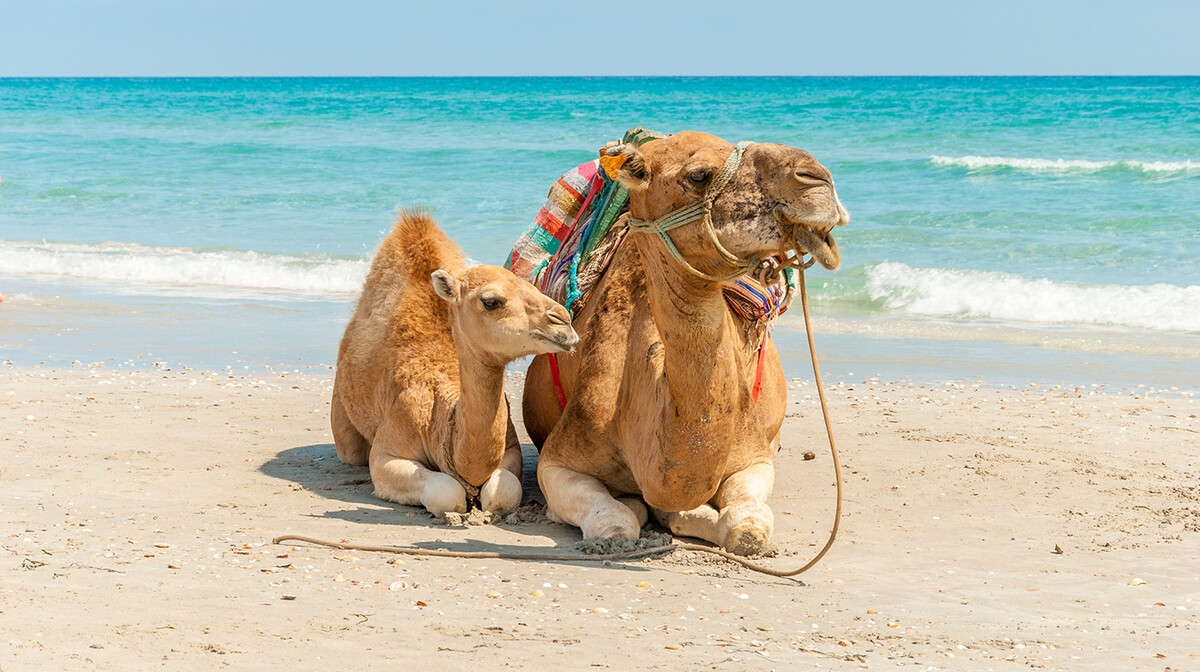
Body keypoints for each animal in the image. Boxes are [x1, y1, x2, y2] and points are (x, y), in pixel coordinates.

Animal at [336, 212, 578, 516]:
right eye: (491, 301)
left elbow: (504, 493)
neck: (437, 413)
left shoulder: (511, 448)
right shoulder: (387, 450)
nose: (564, 322)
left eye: (534, 287)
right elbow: (446, 490)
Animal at [523, 132, 844, 556]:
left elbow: (745, 526)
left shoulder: (754, 458)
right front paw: (636, 507)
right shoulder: (558, 460)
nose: (818, 179)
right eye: (699, 174)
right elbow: (616, 524)